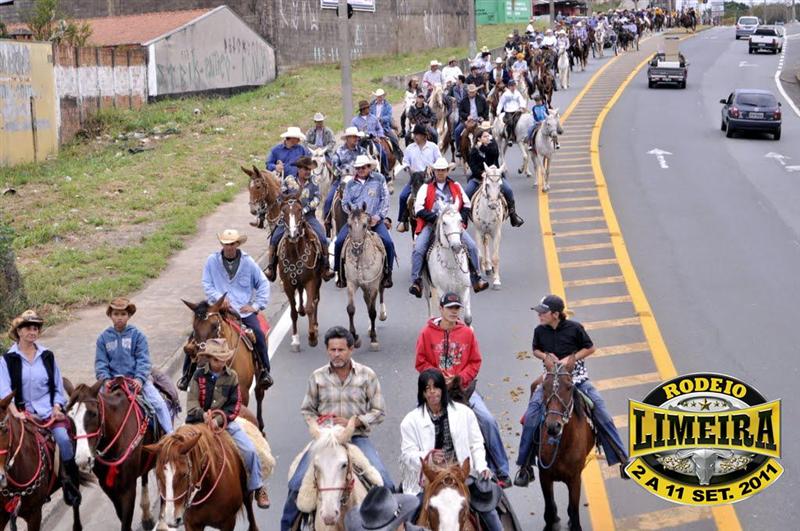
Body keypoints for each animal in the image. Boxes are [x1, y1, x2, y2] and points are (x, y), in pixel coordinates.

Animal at [67, 377, 167, 531]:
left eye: (93, 413)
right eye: (70, 418)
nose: (83, 459)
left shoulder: (128, 488)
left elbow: (125, 522)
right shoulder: (108, 487)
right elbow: (122, 517)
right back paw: (146, 515)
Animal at [181, 296, 267, 432]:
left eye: (215, 326)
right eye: (194, 328)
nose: (202, 361)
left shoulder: (242, 393)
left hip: (259, 374)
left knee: (259, 393)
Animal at [343, 206, 387, 351]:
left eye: (364, 225)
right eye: (349, 225)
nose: (356, 249)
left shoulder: (373, 284)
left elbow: (372, 311)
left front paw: (374, 339)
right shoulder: (352, 283)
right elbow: (351, 309)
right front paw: (354, 337)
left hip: (380, 281)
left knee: (380, 293)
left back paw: (382, 315)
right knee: (367, 300)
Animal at [535, 362, 594, 531]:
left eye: (569, 387)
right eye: (545, 386)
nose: (553, 426)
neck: (561, 447)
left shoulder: (575, 479)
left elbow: (574, 511)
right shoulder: (544, 475)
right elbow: (549, 507)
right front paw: (552, 521)